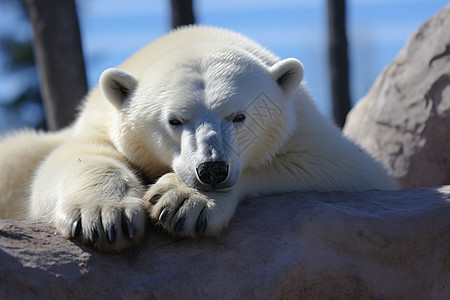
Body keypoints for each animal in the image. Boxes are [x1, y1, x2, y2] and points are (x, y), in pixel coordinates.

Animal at [0, 25, 394, 251]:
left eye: (239, 116)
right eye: (174, 120)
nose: (213, 169)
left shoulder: (306, 126)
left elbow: (338, 165)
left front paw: (182, 202)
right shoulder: (103, 124)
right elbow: (78, 159)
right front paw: (104, 219)